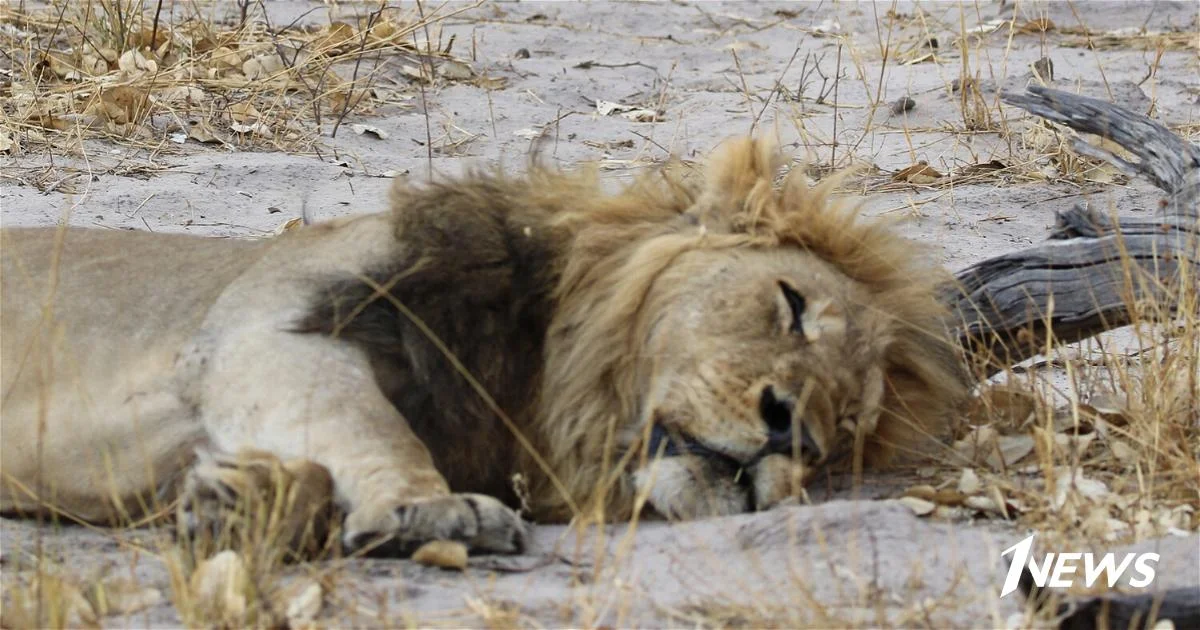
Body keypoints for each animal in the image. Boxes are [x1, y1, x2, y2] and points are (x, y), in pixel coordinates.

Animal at [0, 137, 964, 554]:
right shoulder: (266, 329)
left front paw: (239, 502)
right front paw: (429, 511)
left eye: (845, 427)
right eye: (790, 306)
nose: (789, 430)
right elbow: (376, 430)